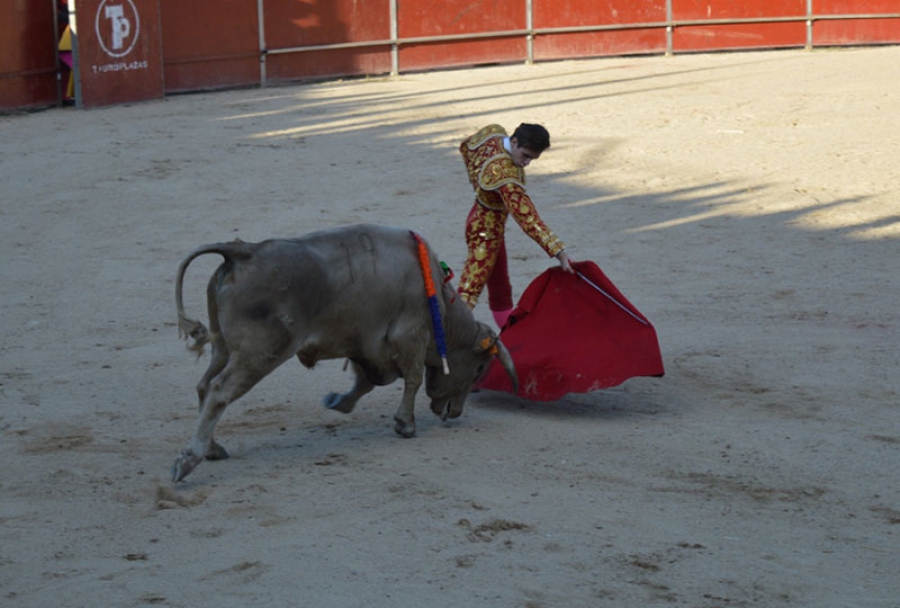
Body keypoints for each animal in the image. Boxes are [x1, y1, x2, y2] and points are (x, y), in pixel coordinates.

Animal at [171, 221, 516, 482]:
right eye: (479, 368)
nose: (455, 412)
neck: (440, 302)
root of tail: (243, 252)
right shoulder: (409, 337)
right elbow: (413, 379)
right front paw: (405, 424)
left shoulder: (364, 344)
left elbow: (365, 381)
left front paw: (339, 402)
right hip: (259, 355)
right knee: (218, 391)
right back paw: (189, 460)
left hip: (223, 348)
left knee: (204, 385)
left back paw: (213, 448)